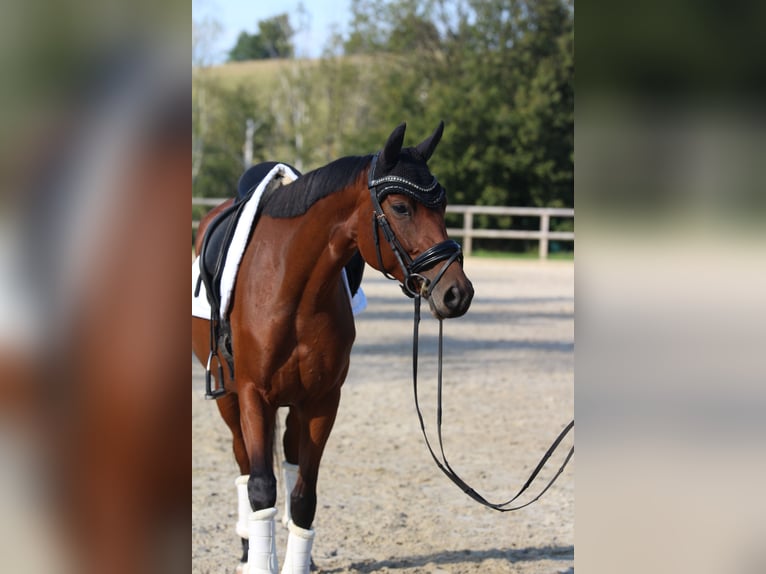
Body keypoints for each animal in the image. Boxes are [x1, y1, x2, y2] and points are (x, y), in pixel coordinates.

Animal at [191, 121, 474, 574]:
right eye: (400, 207)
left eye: (443, 205)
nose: (456, 293)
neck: (290, 285)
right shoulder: (252, 395)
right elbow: (261, 486)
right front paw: (260, 559)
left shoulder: (322, 400)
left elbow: (304, 497)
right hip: (230, 398)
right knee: (243, 463)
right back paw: (248, 545)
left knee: (288, 463)